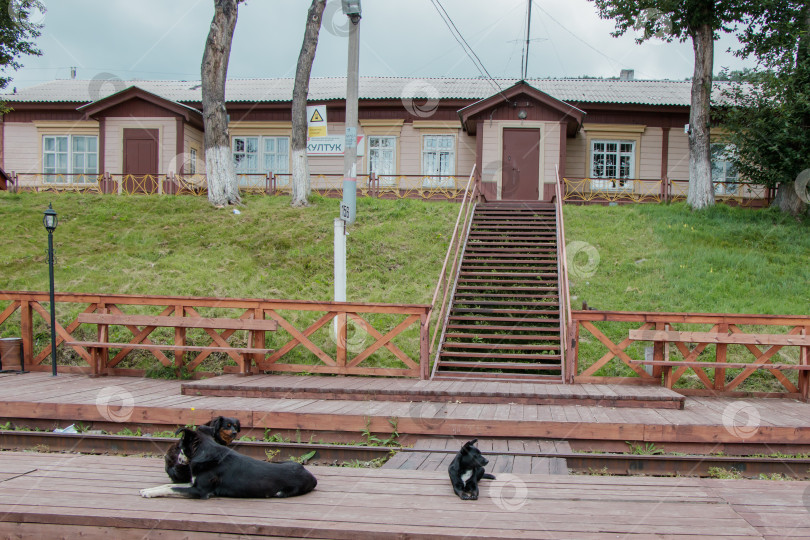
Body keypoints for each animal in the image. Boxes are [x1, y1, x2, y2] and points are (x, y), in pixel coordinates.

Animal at [140, 426, 318, 498]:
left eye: (180, 445)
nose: (174, 458)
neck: (203, 452)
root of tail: (312, 476)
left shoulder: (200, 491)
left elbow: (173, 489)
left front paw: (150, 493)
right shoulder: (193, 483)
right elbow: (169, 485)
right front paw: (147, 489)